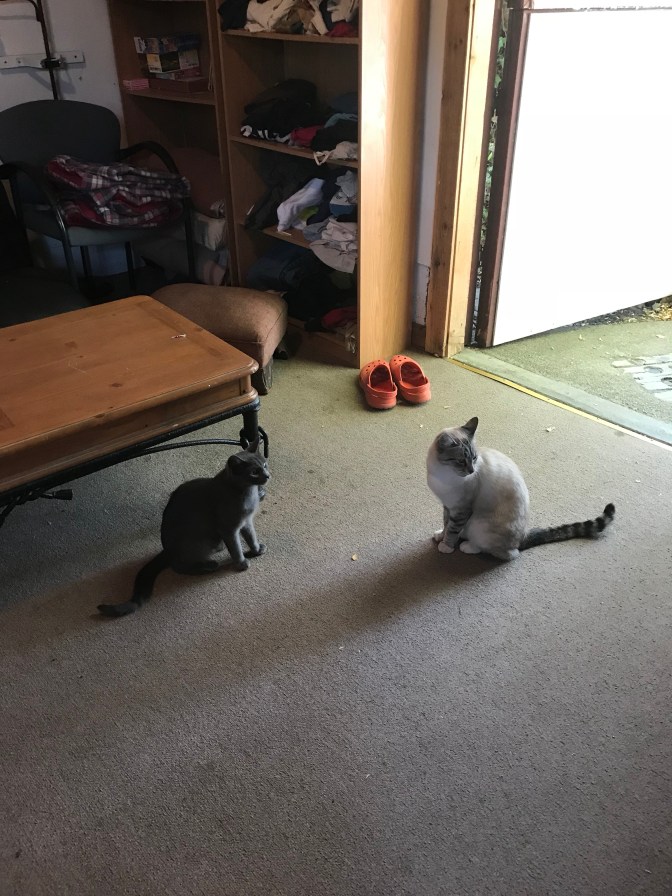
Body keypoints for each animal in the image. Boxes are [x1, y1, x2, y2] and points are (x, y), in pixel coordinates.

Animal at [98, 440, 270, 617]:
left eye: (265, 464)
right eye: (254, 472)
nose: (267, 475)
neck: (248, 494)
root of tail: (167, 550)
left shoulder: (246, 522)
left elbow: (251, 537)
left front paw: (256, 550)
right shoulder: (228, 528)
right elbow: (235, 548)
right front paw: (241, 563)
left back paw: (217, 549)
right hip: (198, 541)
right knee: (178, 566)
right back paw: (208, 565)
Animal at [426, 416, 614, 561]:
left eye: (474, 458)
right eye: (460, 462)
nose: (472, 471)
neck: (441, 474)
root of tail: (523, 536)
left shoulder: (461, 510)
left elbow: (452, 529)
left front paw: (446, 546)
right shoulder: (448, 506)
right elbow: (446, 524)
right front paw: (441, 536)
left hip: (480, 525)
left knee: (508, 553)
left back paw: (468, 546)